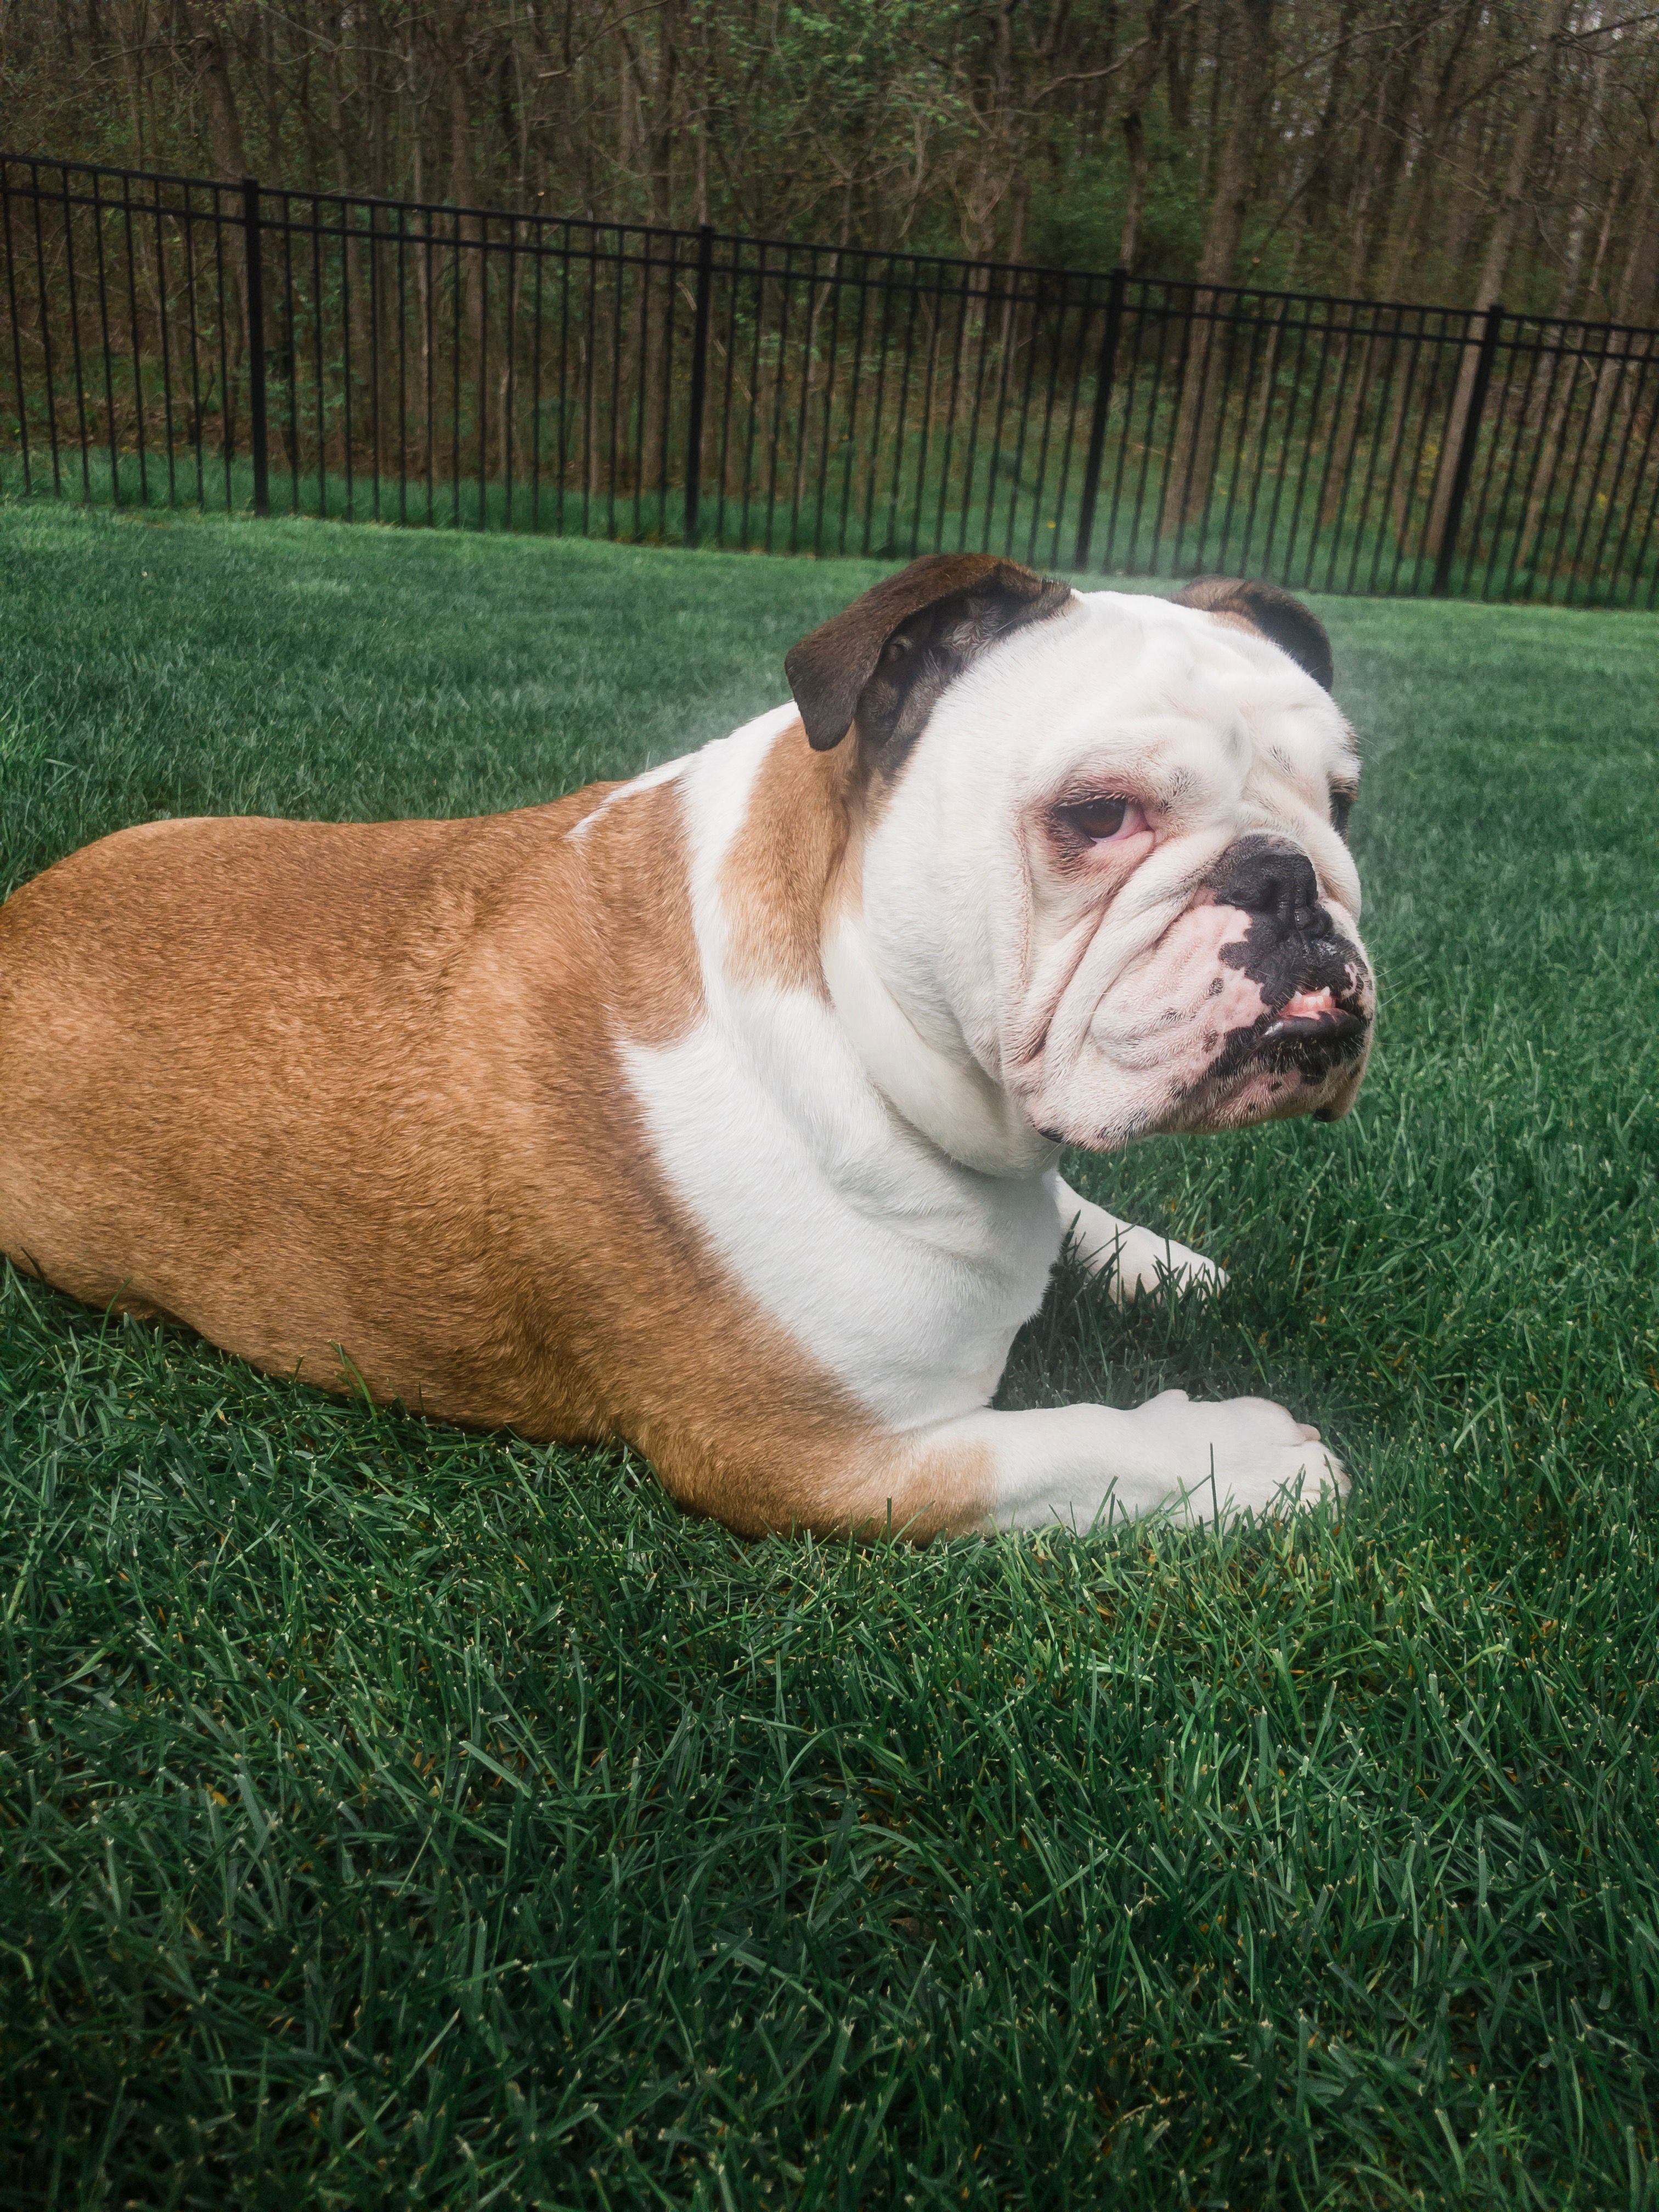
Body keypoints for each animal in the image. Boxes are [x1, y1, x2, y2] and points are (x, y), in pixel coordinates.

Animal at [0, 558, 1372, 1538]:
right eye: (1097, 814)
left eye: (1344, 804)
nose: (1293, 882)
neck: (847, 995)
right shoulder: (823, 1457)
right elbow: (1080, 1451)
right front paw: (1244, 1455)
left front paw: (1151, 1257)